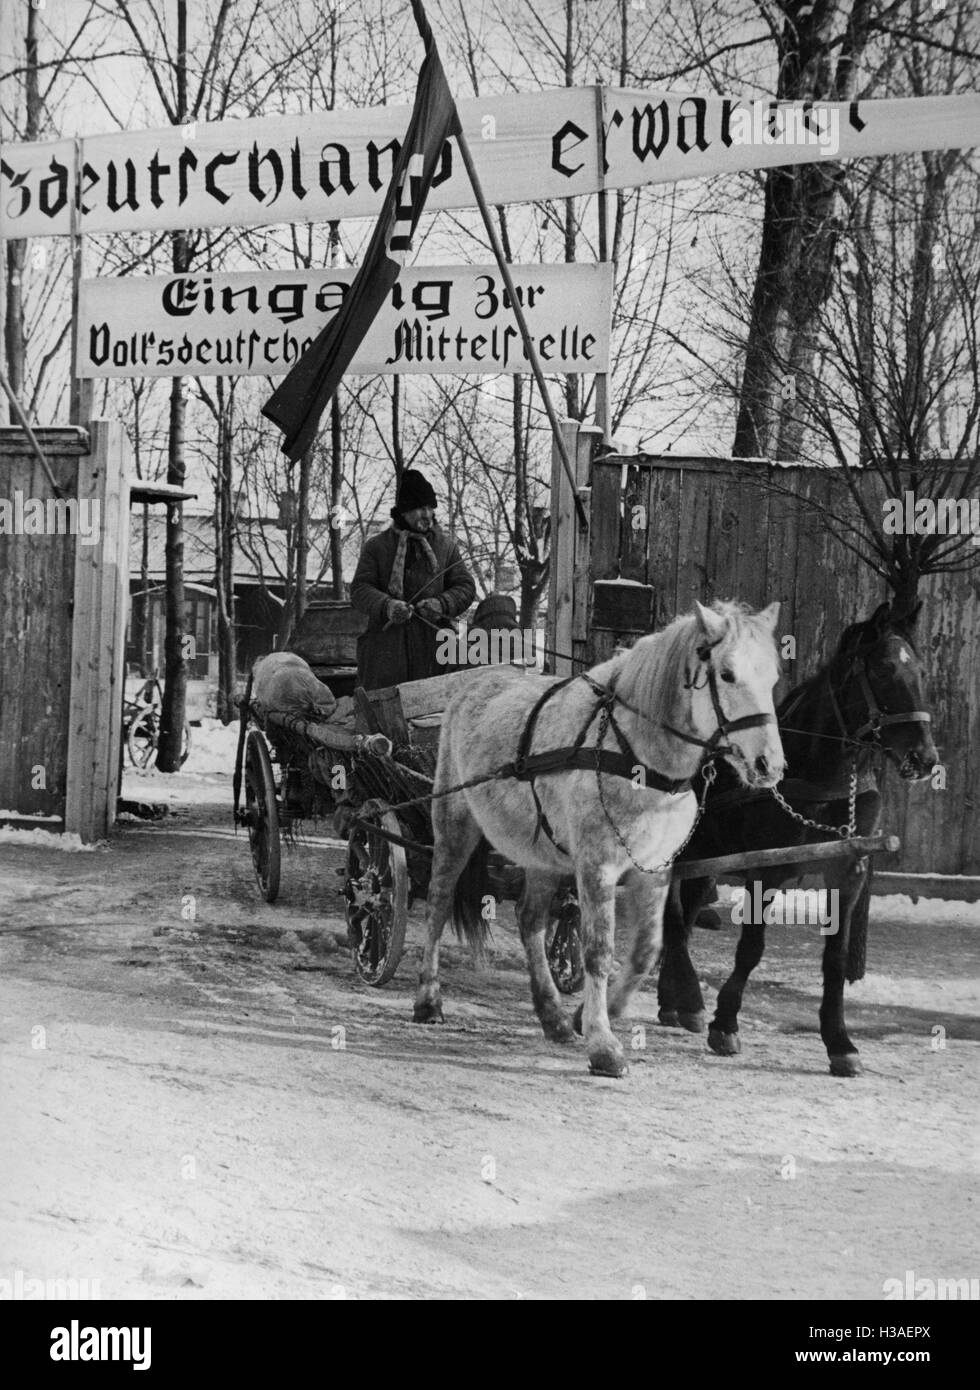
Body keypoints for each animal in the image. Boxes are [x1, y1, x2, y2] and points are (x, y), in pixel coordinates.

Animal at [411, 597, 789, 1073]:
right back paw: (428, 999)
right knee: (438, 903)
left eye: (772, 677)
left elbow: (646, 950)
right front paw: (603, 1043)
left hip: (540, 853)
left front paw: (587, 1016)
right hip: (454, 824)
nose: (769, 765)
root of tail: (473, 684)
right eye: (727, 674)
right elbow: (598, 951)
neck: (636, 754)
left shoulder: (655, 867)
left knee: (530, 921)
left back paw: (552, 1017)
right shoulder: (597, 865)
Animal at [653, 606, 934, 1073]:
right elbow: (751, 948)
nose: (924, 758)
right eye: (883, 669)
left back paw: (671, 1001)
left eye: (921, 671)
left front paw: (840, 1041)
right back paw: (690, 999)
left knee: (684, 917)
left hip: (705, 860)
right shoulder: (764, 869)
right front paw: (725, 1023)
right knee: (673, 920)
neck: (819, 770)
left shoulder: (847, 871)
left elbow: (836, 958)